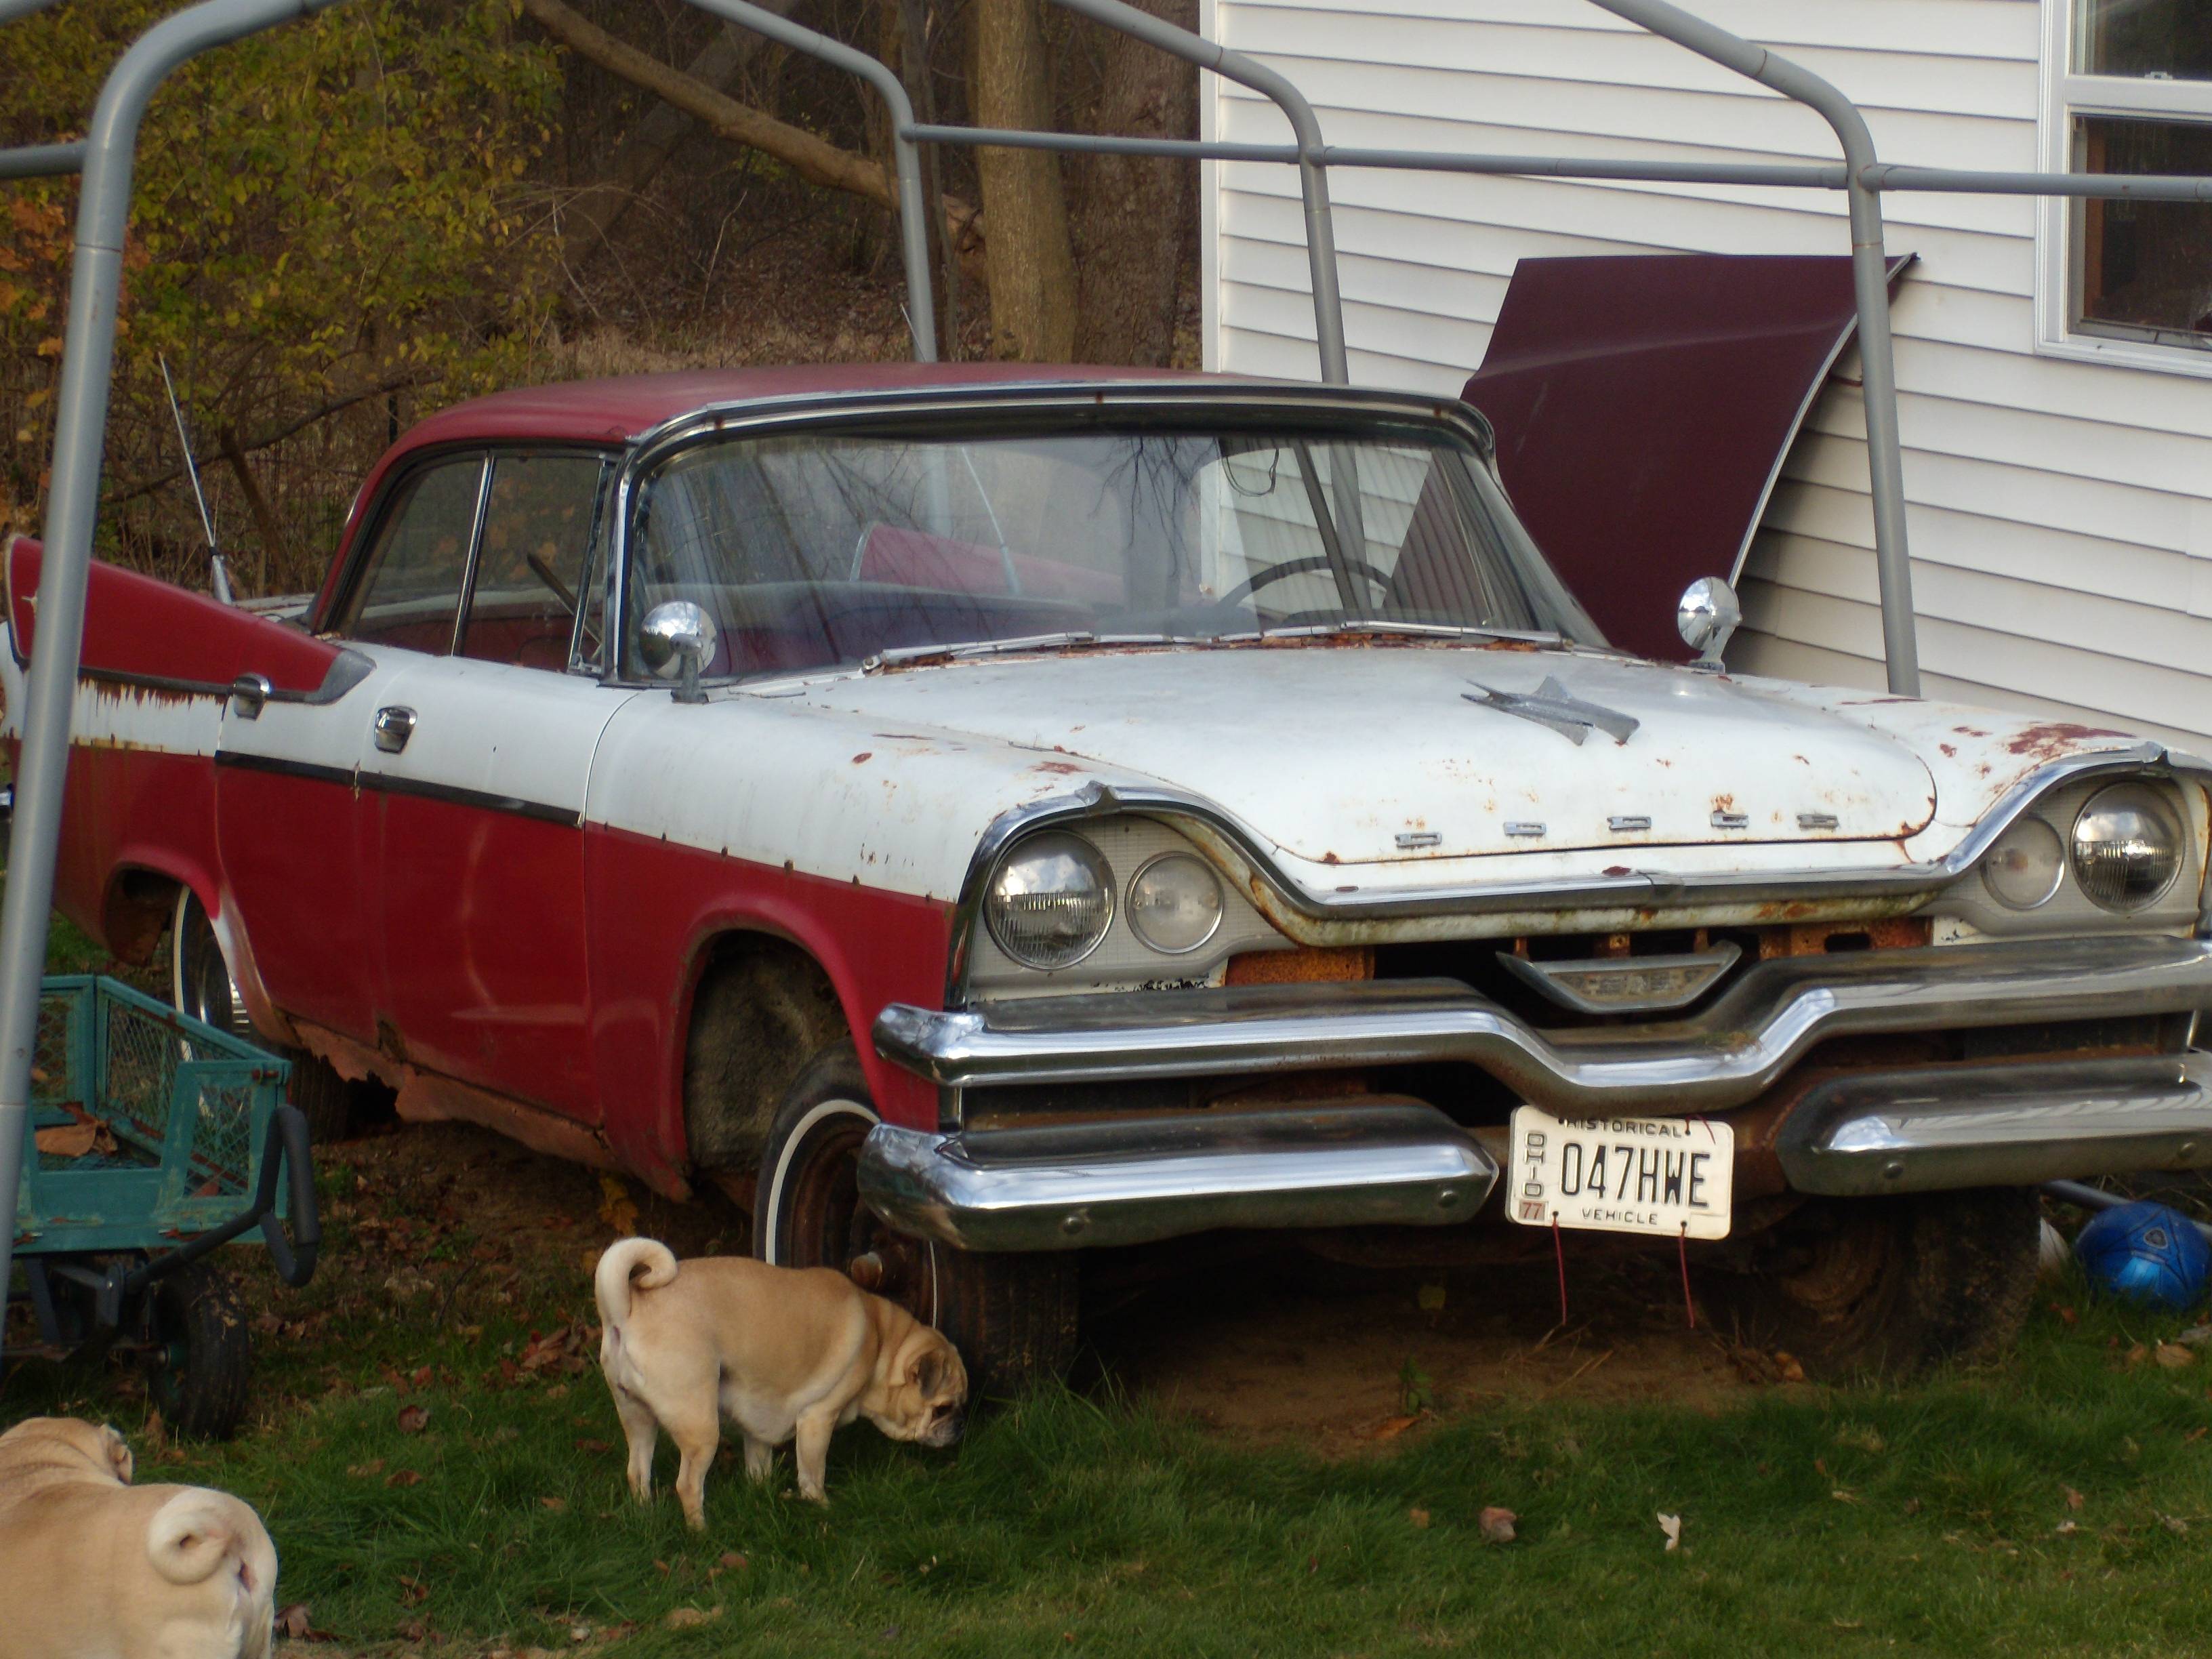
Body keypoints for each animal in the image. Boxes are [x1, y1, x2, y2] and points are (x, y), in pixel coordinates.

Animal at [594, 1237, 968, 1527]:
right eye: (943, 1409)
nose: (960, 1425)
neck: (883, 1344)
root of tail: (625, 1311)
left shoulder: (758, 1426)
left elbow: (759, 1464)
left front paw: (760, 1493)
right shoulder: (818, 1419)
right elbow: (813, 1474)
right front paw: (822, 1508)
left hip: (637, 1418)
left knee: (638, 1471)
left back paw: (645, 1513)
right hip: (700, 1426)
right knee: (687, 1484)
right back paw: (700, 1531)